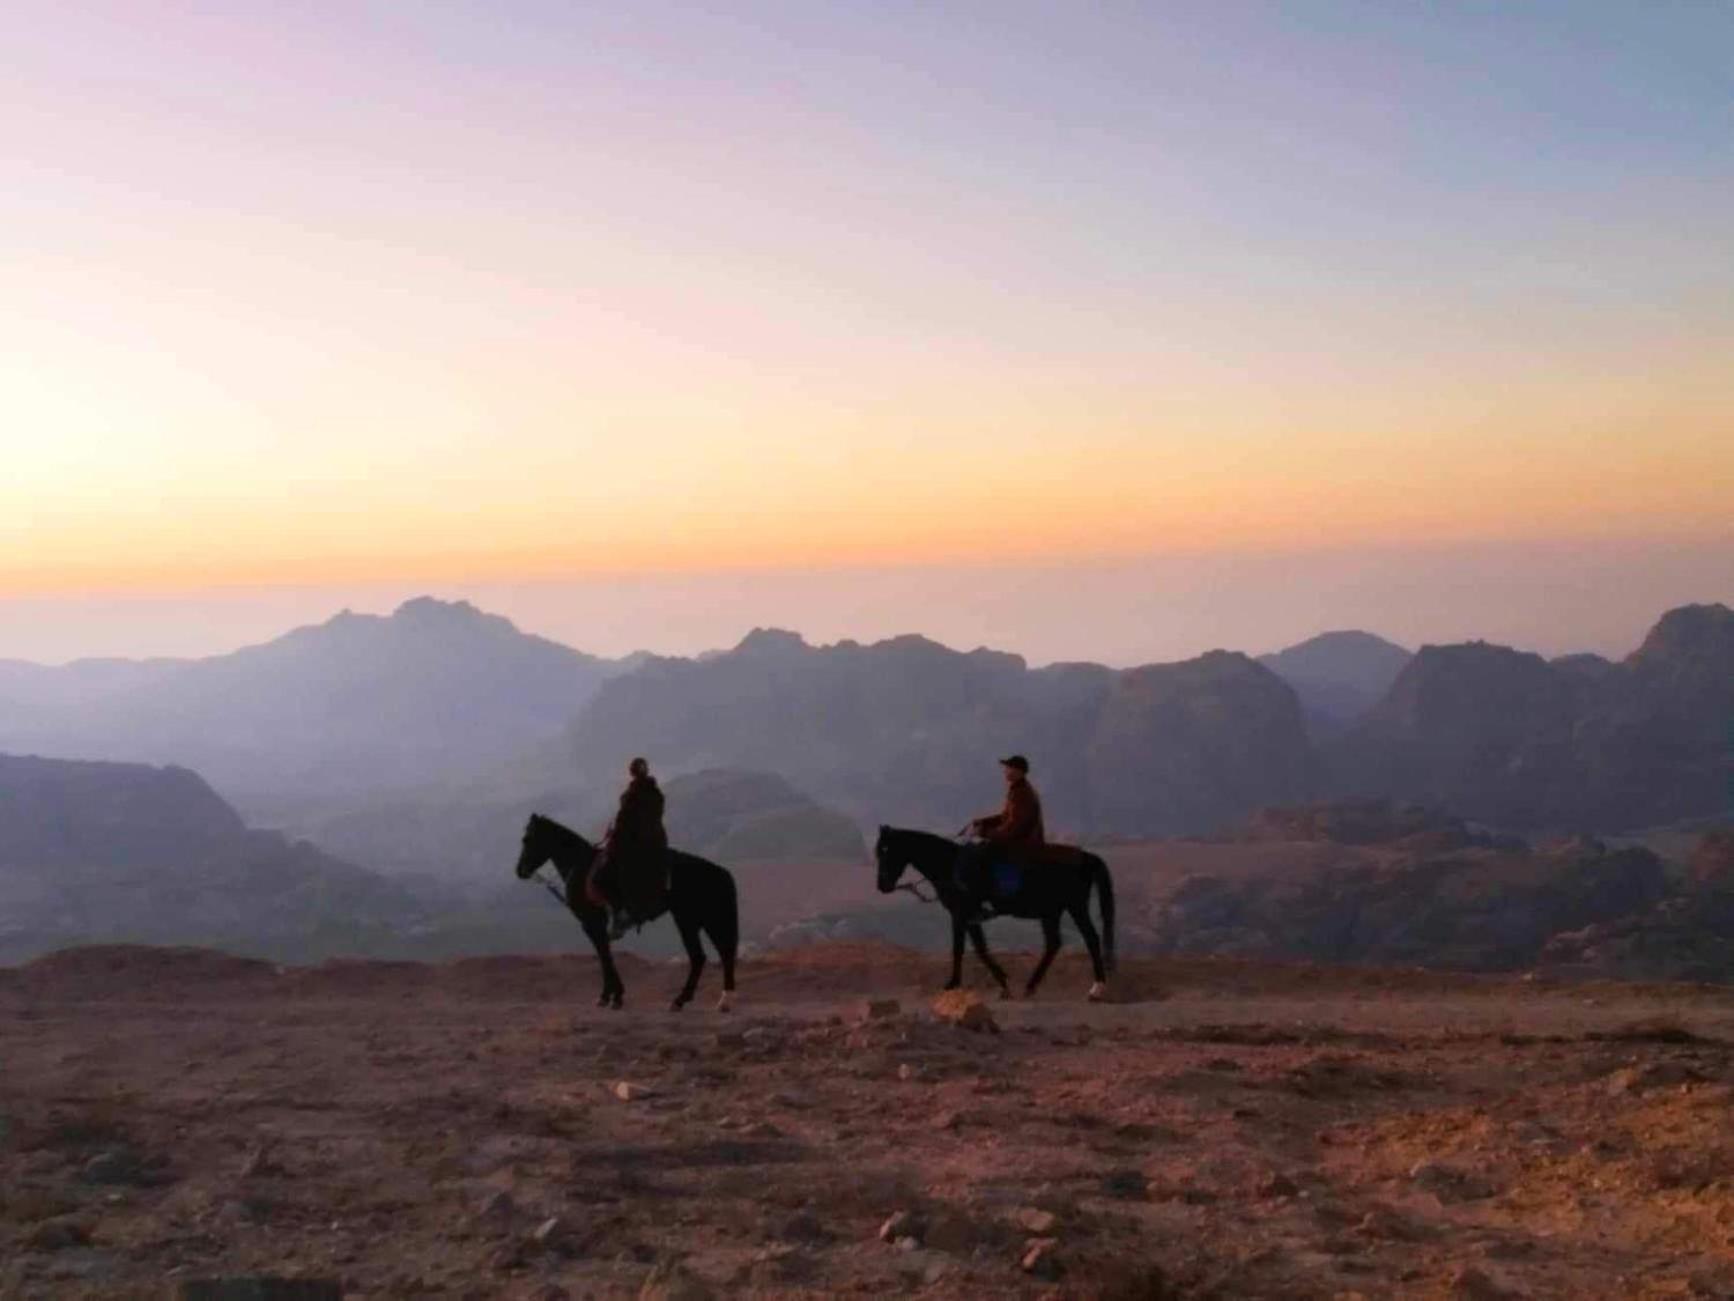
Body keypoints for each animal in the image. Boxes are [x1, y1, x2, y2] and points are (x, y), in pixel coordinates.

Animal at [506, 815, 738, 1019]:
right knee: (714, 954)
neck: (580, 867)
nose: (520, 871)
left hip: (691, 919)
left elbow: (604, 955)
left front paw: (611, 997)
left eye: (527, 839)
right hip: (700, 920)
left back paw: (690, 1000)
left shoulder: (591, 922)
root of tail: (718, 871)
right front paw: (612, 996)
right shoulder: (596, 924)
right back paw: (711, 1001)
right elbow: (605, 953)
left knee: (706, 955)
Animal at [873, 829, 1116, 1006]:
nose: (882, 886)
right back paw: (1031, 986)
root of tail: (1085, 856)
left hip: (1075, 906)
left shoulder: (960, 914)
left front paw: (954, 983)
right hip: (1052, 912)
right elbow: (980, 948)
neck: (949, 865)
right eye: (878, 852)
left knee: (1091, 939)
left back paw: (1097, 989)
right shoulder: (969, 917)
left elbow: (961, 949)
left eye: (887, 851)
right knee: (1053, 944)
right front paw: (1002, 983)